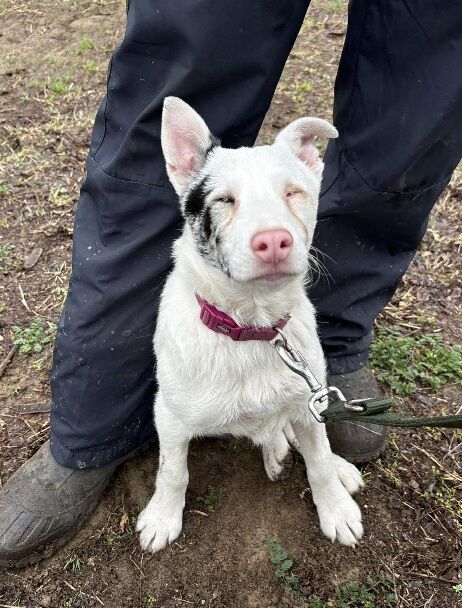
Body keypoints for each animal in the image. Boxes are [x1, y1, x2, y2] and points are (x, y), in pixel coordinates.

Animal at [136, 97, 364, 553]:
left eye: (293, 193)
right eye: (224, 200)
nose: (274, 241)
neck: (254, 329)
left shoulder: (309, 400)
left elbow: (319, 461)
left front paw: (335, 507)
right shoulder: (168, 416)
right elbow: (172, 471)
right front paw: (162, 516)